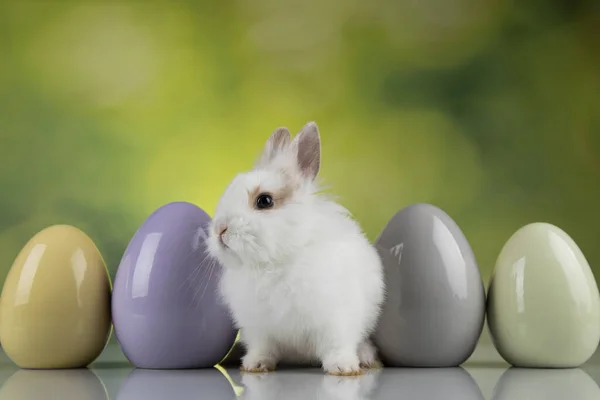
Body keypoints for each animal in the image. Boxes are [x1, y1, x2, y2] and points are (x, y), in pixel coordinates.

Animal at [206, 121, 384, 376]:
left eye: (264, 201)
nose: (220, 229)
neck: (275, 261)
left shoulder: (337, 319)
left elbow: (337, 344)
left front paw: (343, 368)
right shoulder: (258, 327)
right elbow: (262, 347)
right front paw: (255, 365)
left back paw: (366, 358)